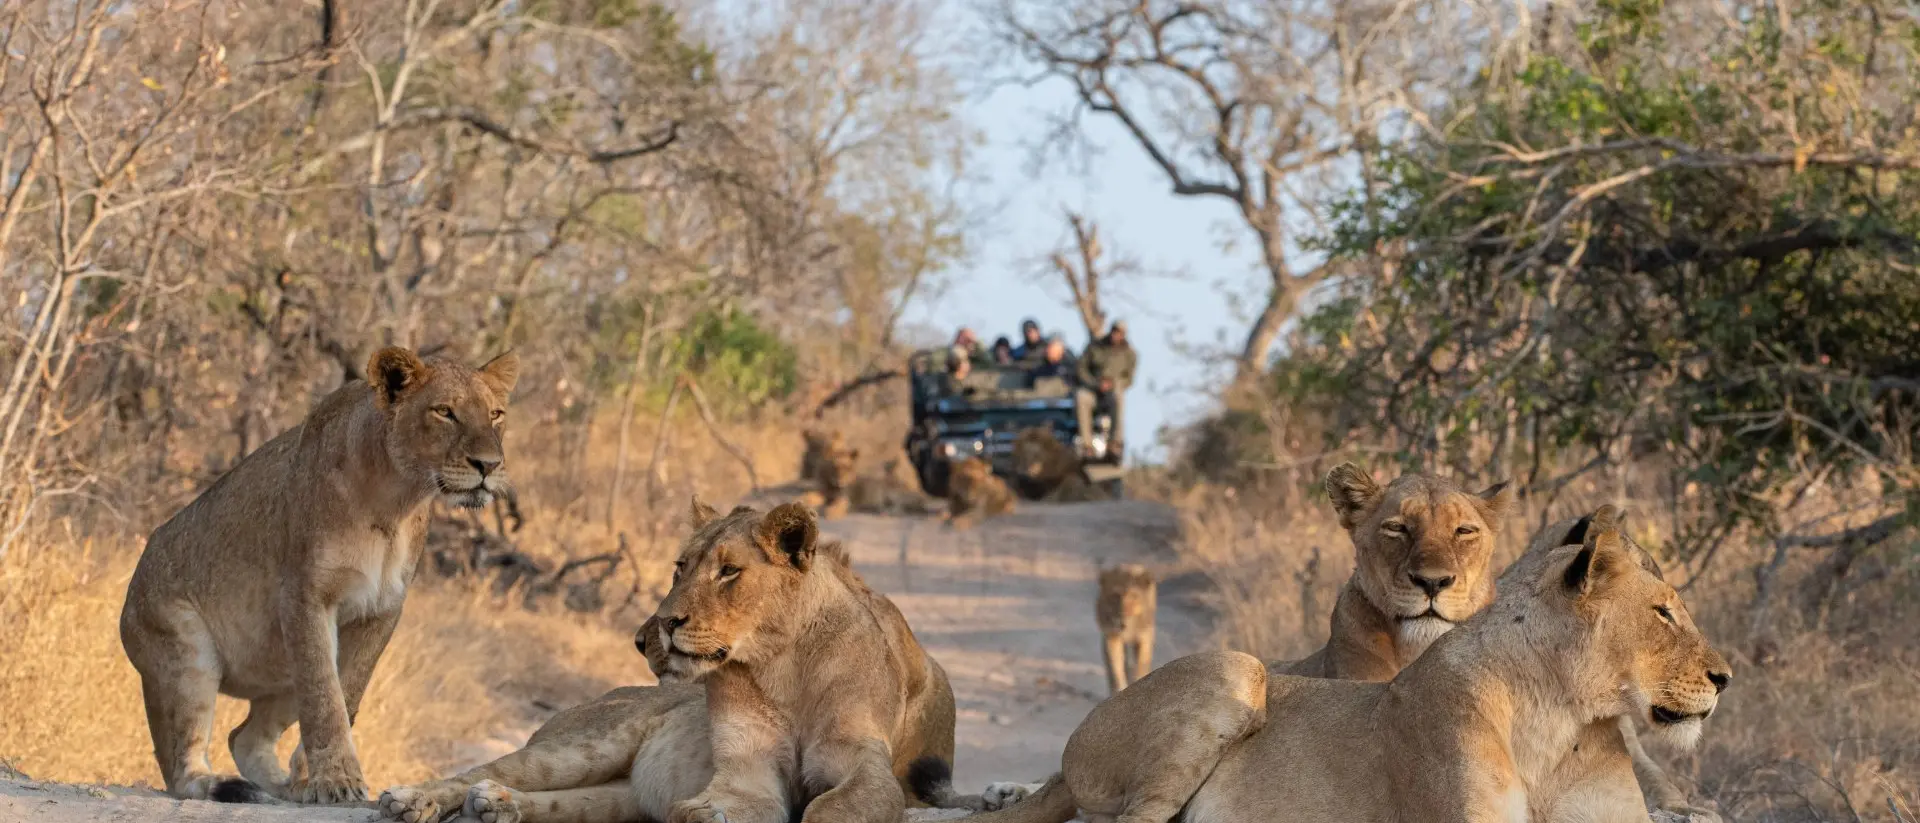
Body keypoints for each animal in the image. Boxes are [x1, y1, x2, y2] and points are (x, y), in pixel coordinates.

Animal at [120, 347, 519, 804]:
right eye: (445, 412)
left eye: (496, 414)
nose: (489, 465)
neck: (395, 503)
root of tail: (126, 608)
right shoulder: (304, 597)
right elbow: (324, 697)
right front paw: (336, 781)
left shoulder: (381, 610)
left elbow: (346, 692)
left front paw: (313, 778)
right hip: (185, 652)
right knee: (181, 764)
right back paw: (229, 786)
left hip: (277, 670)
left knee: (244, 737)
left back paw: (281, 789)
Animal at [378, 497, 957, 823]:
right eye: (682, 566)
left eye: (729, 571)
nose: (661, 625)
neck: (782, 666)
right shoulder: (745, 774)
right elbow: (731, 798)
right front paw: (701, 814)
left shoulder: (862, 763)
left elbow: (838, 805)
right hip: (587, 745)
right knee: (482, 770)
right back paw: (411, 800)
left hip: (620, 798)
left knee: (568, 802)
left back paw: (499, 805)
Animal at [1096, 564, 1157, 696]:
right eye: (1115, 595)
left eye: (1134, 596)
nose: (1122, 621)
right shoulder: (1111, 636)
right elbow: (1115, 666)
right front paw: (1118, 689)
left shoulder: (1144, 637)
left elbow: (1141, 664)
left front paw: (1139, 682)